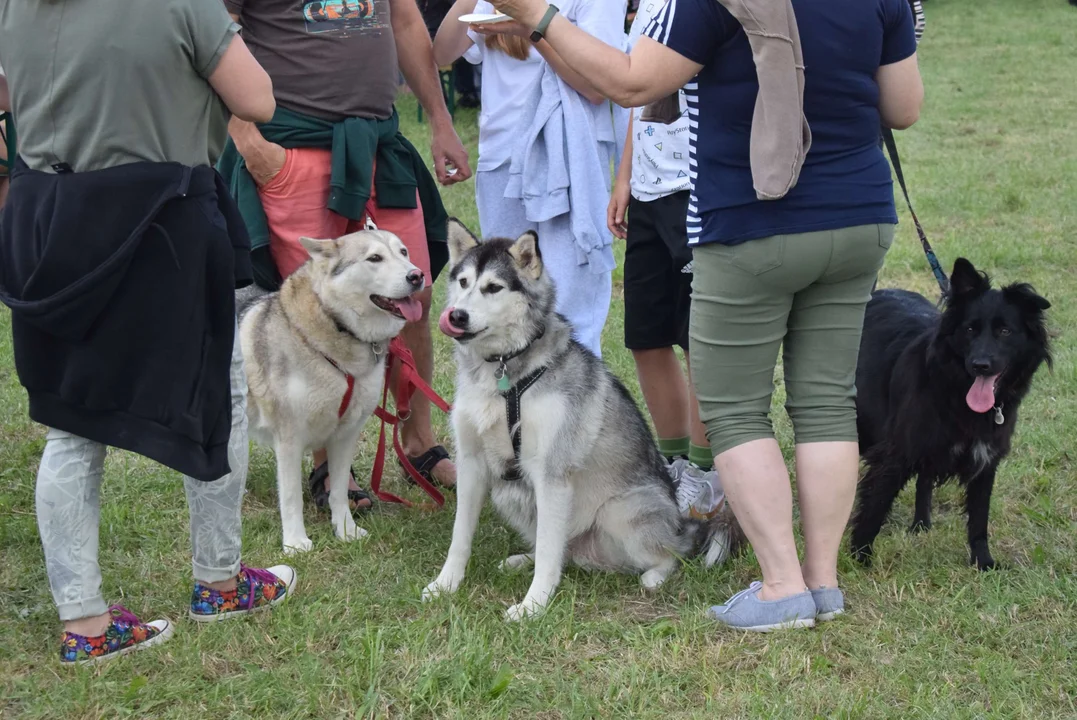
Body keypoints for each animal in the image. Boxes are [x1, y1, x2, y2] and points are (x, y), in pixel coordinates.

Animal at [848, 257, 1051, 568]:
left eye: (1005, 331)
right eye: (969, 330)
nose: (981, 365)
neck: (955, 389)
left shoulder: (986, 459)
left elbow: (979, 518)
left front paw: (983, 563)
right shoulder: (896, 453)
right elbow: (875, 506)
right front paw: (859, 559)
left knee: (924, 479)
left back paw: (921, 525)